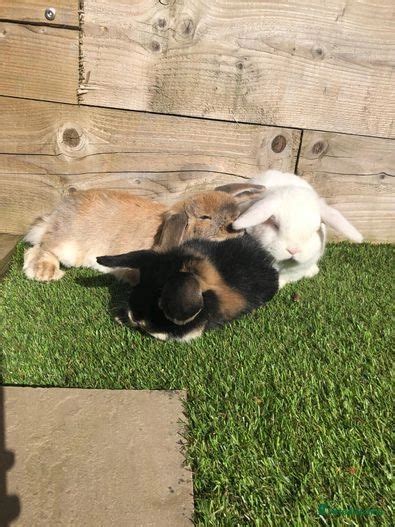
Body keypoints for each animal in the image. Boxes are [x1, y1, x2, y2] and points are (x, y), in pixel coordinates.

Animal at [23, 186, 264, 284]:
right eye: (205, 217)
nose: (236, 228)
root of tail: (56, 215)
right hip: (67, 245)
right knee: (39, 248)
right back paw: (44, 272)